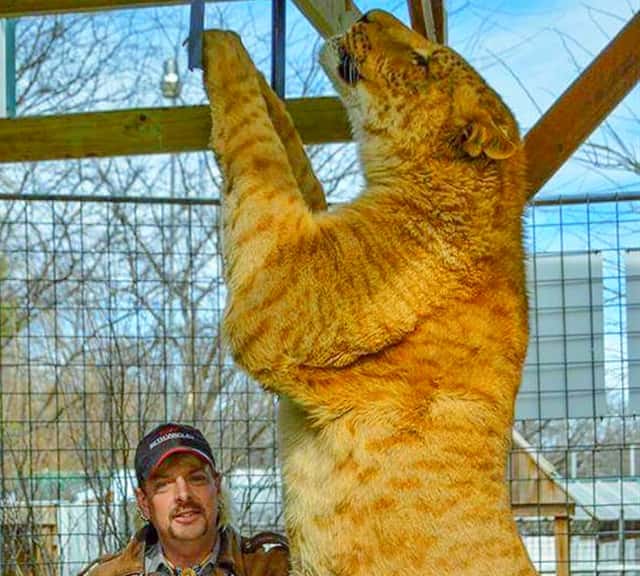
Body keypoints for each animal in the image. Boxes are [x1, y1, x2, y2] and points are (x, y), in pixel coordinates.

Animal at [205, 10, 536, 576]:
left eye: (422, 60)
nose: (366, 14)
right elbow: (290, 148)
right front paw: (270, 83)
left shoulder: (273, 290)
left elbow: (256, 146)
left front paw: (223, 46)